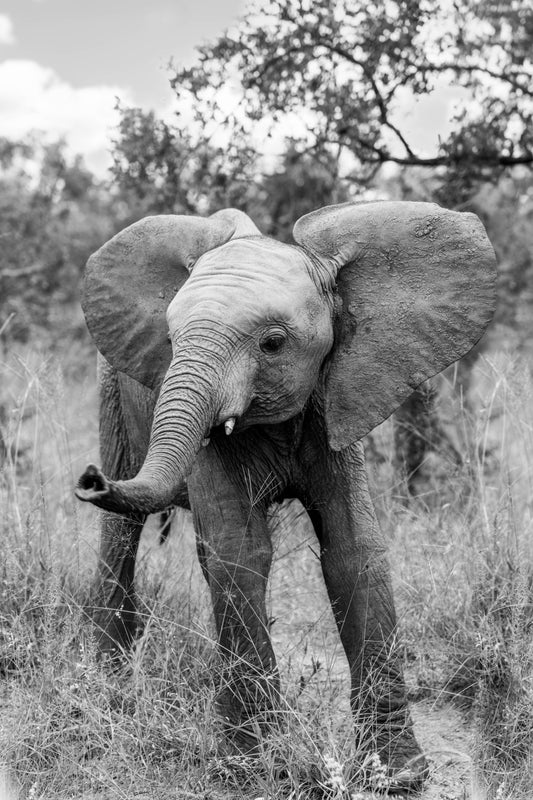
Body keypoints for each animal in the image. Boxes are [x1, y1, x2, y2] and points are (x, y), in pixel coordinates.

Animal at [75, 201, 496, 793]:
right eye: (171, 341)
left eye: (272, 344)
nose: (89, 479)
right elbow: (240, 553)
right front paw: (256, 770)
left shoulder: (338, 397)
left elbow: (355, 553)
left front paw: (396, 778)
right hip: (110, 387)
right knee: (122, 536)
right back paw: (108, 688)